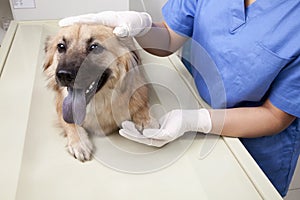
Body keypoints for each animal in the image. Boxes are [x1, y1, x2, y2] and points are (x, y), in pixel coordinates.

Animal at [44, 23, 158, 161]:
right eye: (61, 46)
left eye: (94, 47)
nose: (64, 75)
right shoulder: (62, 104)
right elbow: (68, 121)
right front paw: (79, 142)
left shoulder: (140, 87)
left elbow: (141, 104)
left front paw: (147, 121)